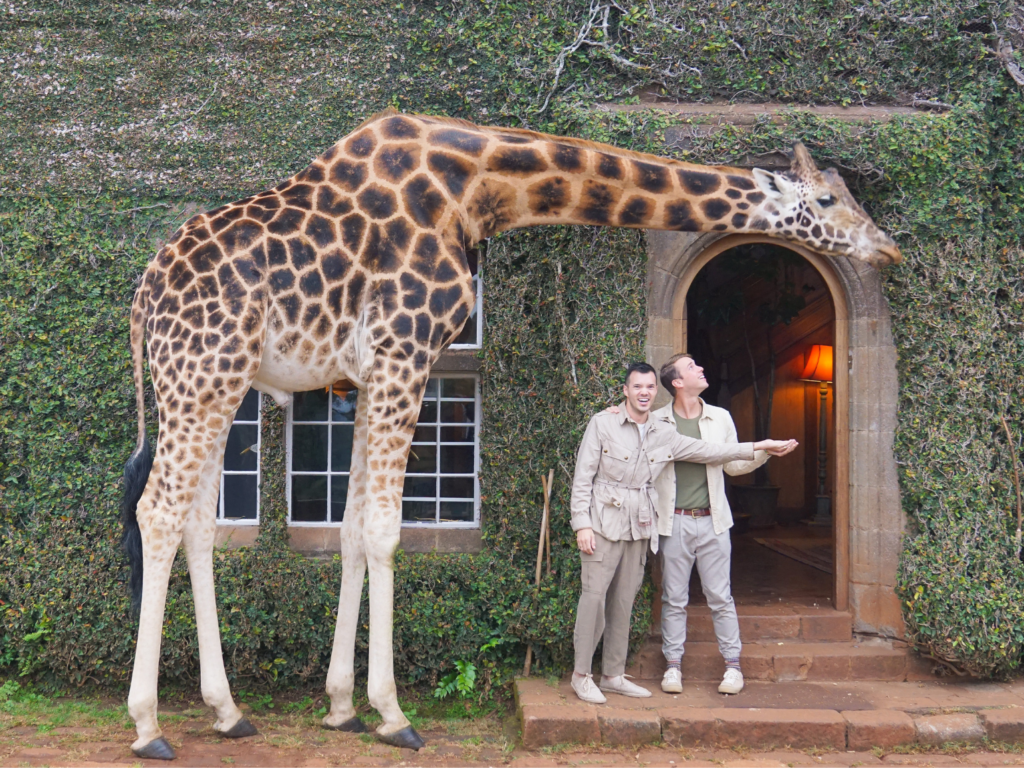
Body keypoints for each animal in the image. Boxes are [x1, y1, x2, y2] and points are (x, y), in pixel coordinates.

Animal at [121, 109, 905, 765]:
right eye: (826, 201)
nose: (889, 249)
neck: (476, 189)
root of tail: (143, 297)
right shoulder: (403, 355)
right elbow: (383, 531)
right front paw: (393, 714)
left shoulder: (369, 375)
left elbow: (350, 530)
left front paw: (342, 707)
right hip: (203, 376)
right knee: (156, 512)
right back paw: (150, 725)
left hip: (221, 384)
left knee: (197, 523)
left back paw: (228, 712)